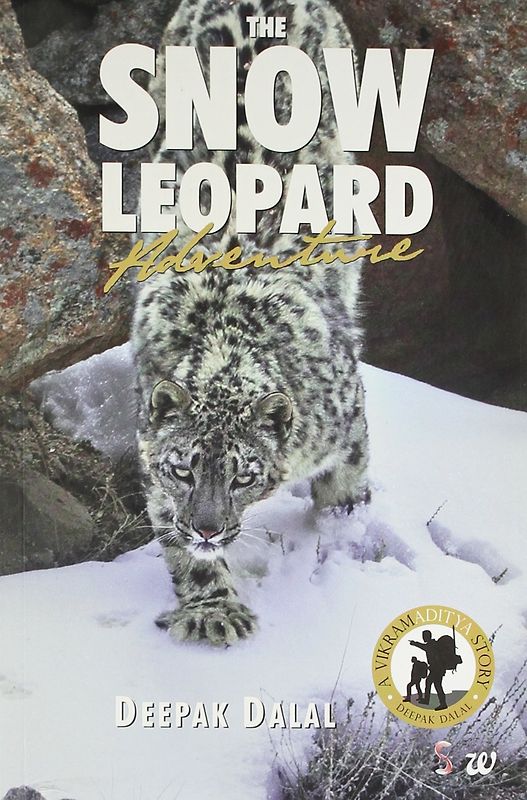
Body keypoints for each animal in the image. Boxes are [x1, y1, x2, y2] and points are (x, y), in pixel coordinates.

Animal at [132, 0, 370, 646]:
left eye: (244, 476)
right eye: (182, 470)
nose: (208, 528)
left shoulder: (349, 416)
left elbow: (348, 474)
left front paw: (344, 524)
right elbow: (176, 544)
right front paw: (213, 609)